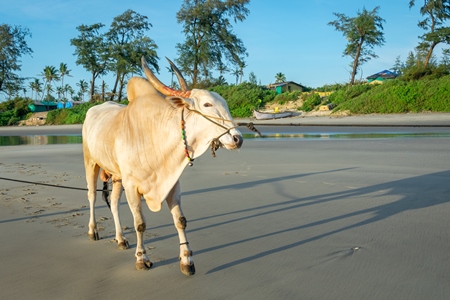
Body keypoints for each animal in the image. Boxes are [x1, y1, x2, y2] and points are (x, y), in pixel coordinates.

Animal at [81, 57, 243, 276]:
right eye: (207, 104)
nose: (237, 138)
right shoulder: (132, 186)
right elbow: (140, 224)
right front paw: (142, 259)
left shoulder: (172, 183)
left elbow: (180, 220)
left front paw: (187, 260)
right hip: (91, 162)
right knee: (91, 196)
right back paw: (93, 230)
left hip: (117, 176)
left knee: (113, 203)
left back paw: (121, 239)